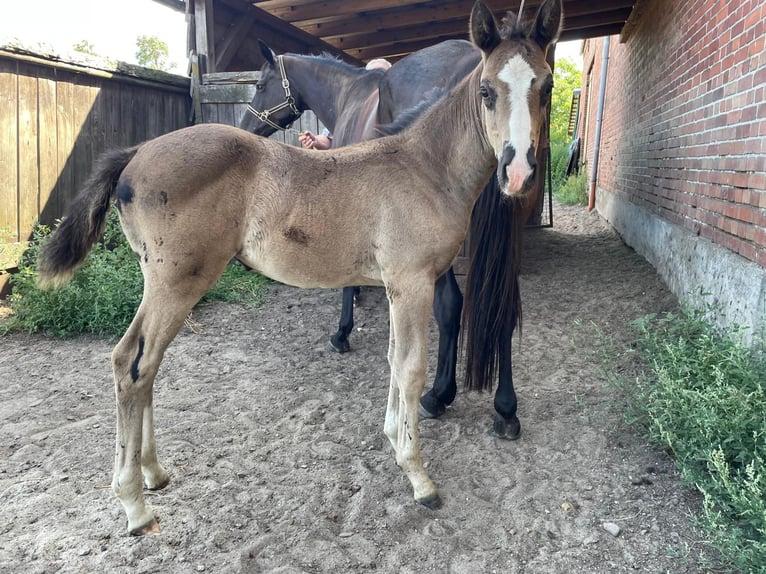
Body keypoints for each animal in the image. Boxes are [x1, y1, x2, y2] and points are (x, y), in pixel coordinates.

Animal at [240, 36, 534, 439]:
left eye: (259, 84)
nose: (246, 125)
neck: (347, 93)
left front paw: (342, 333)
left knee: (451, 307)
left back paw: (438, 395)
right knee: (502, 307)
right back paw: (506, 408)